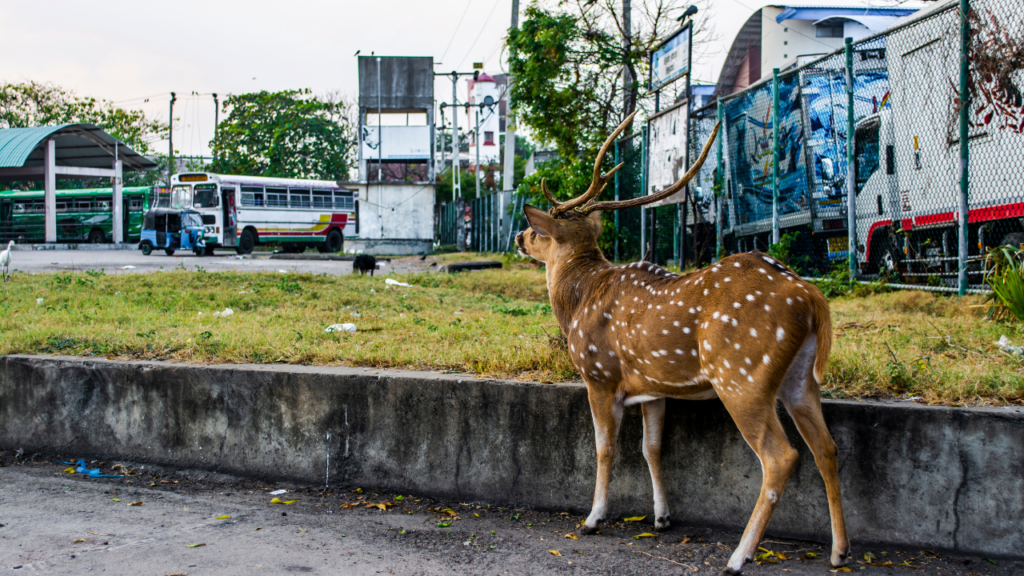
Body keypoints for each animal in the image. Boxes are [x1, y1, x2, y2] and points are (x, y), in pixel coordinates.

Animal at [516, 111, 851, 569]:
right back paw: (838, 552)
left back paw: (739, 557)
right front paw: (661, 517)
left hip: (742, 377)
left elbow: (604, 449)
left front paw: (592, 518)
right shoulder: (653, 388)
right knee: (827, 448)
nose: (518, 238)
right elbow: (652, 448)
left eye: (541, 231)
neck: (578, 301)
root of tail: (811, 297)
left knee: (781, 456)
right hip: (799, 377)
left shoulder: (599, 375)